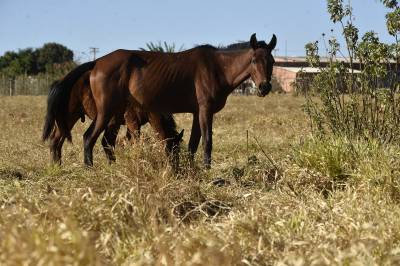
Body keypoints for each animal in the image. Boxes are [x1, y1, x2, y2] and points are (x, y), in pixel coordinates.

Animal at [43, 67, 184, 166]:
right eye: (173, 151)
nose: (177, 169)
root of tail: (61, 81)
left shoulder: (128, 123)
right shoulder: (133, 120)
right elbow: (137, 141)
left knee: (56, 140)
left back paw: (57, 166)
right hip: (73, 117)